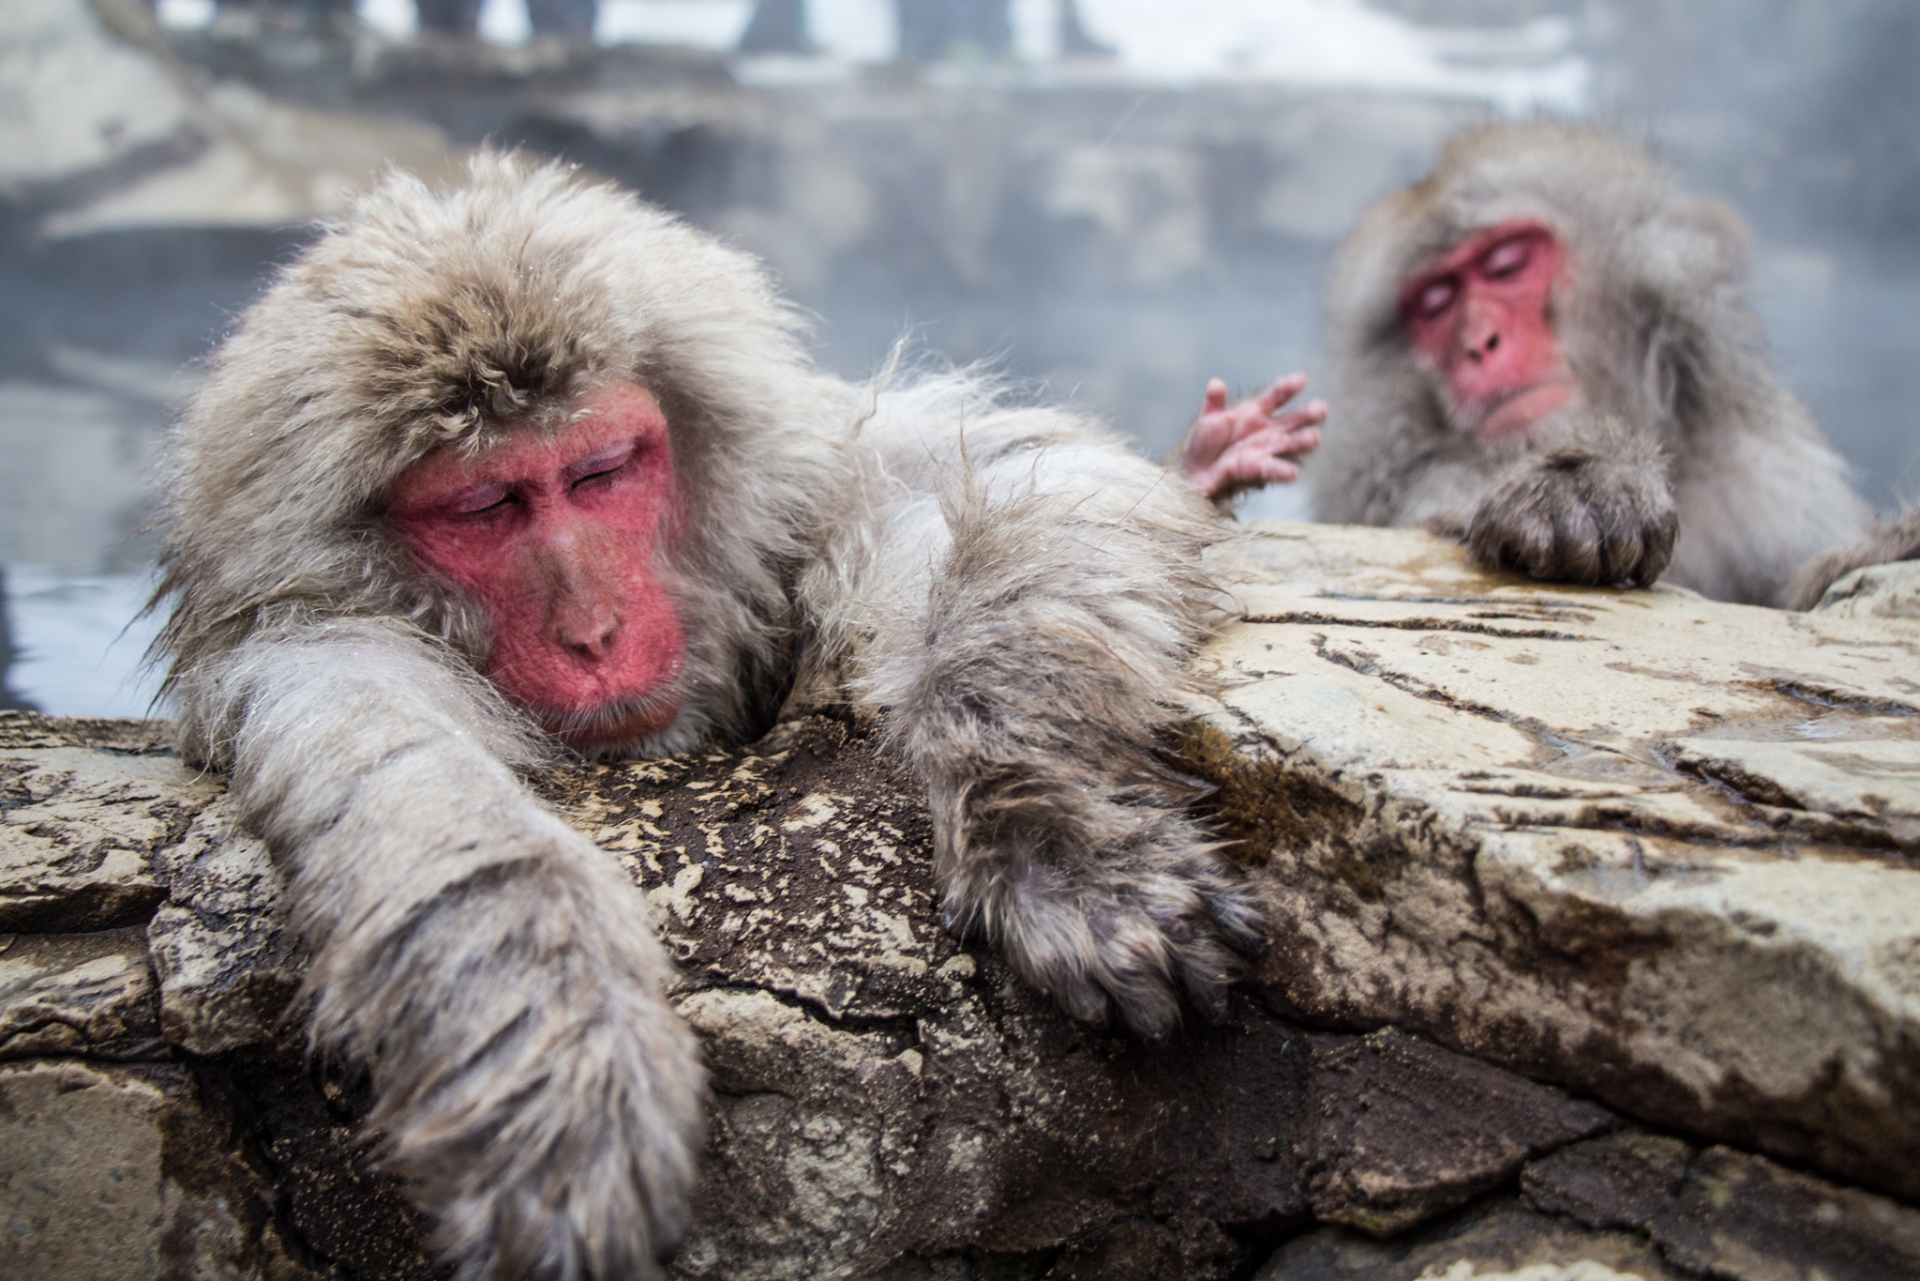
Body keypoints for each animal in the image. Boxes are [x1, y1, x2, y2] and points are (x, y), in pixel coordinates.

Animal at [149, 152, 1259, 1281]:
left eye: (599, 474)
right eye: (486, 508)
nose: (595, 632)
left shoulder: (798, 483)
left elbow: (1014, 464)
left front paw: (1050, 836)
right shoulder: (318, 649)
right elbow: (415, 794)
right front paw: (571, 1057)